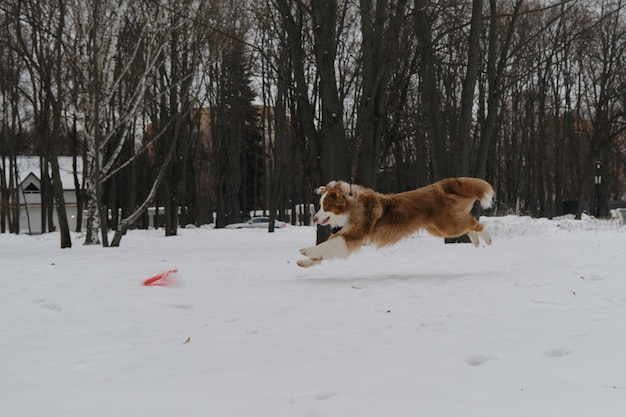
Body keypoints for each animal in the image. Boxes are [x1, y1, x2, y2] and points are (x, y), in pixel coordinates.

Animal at [294, 176, 494, 266]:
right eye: (320, 206)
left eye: (326, 206)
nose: (314, 218)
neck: (352, 206)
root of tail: (442, 184)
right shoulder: (347, 233)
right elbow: (326, 249)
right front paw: (305, 262)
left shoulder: (353, 235)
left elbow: (326, 245)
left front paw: (306, 250)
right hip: (439, 227)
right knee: (469, 224)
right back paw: (476, 241)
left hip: (447, 225)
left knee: (476, 223)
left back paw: (487, 238)